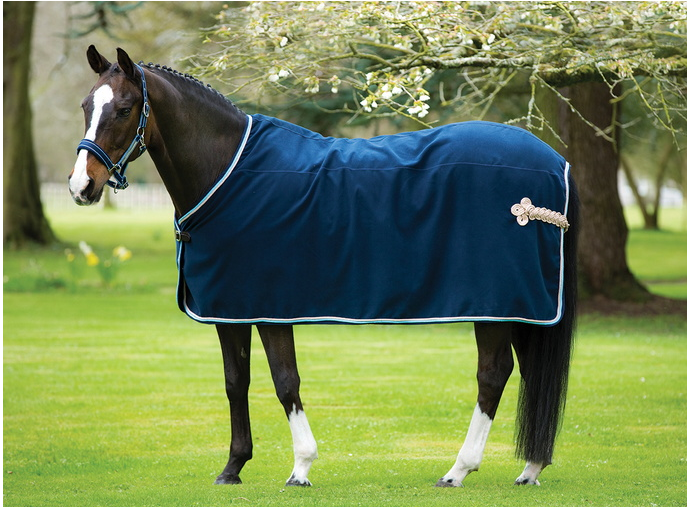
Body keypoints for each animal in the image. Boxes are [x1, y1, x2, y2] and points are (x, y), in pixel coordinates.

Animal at [69, 46, 578, 488]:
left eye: (125, 108)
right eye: (86, 105)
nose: (80, 187)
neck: (227, 174)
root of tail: (555, 161)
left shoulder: (269, 307)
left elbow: (285, 382)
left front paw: (301, 468)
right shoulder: (231, 308)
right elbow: (237, 382)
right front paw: (233, 467)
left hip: (497, 306)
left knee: (493, 376)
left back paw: (458, 471)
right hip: (523, 307)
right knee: (530, 374)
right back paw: (530, 468)